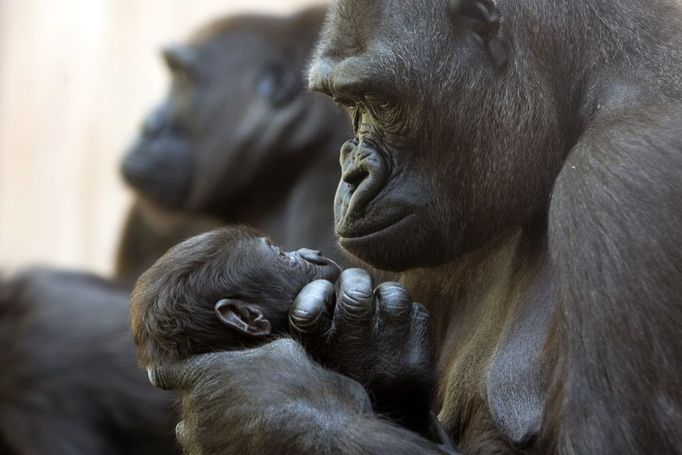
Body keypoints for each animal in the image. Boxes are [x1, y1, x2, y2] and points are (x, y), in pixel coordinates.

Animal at [150, 0, 680, 455]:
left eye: (380, 100)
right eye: (348, 103)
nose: (351, 176)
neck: (586, 90)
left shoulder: (625, 171)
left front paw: (259, 409)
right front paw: (378, 356)